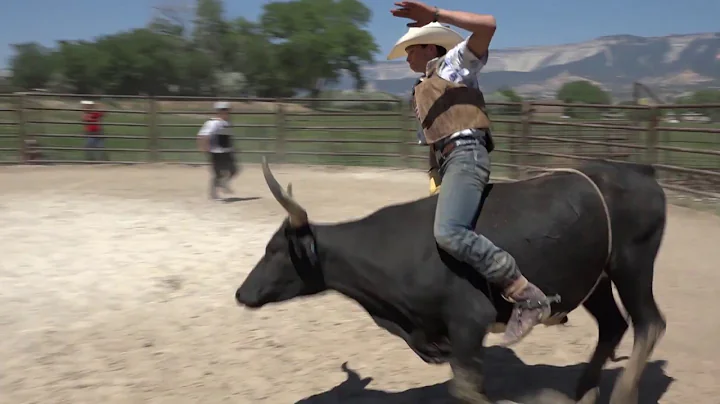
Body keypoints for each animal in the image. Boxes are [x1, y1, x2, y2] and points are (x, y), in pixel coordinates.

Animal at [233, 158, 668, 404]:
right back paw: (584, 394)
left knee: (649, 324)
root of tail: (641, 173)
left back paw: (622, 395)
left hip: (633, 265)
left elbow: (465, 389)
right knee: (613, 326)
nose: (241, 293)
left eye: (276, 250)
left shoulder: (468, 322)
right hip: (597, 280)